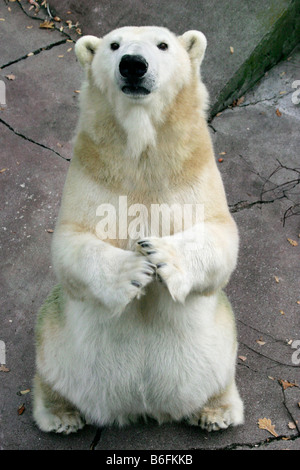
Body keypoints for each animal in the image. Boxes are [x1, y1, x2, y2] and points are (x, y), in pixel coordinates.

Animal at [32, 27, 244, 436]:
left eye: (163, 45)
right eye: (114, 45)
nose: (133, 64)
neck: (143, 153)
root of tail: (142, 409)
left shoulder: (194, 169)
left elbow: (221, 236)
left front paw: (159, 254)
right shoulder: (92, 169)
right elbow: (70, 243)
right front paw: (135, 270)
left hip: (220, 345)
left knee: (222, 365)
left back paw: (215, 413)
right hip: (58, 345)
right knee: (50, 359)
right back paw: (62, 416)